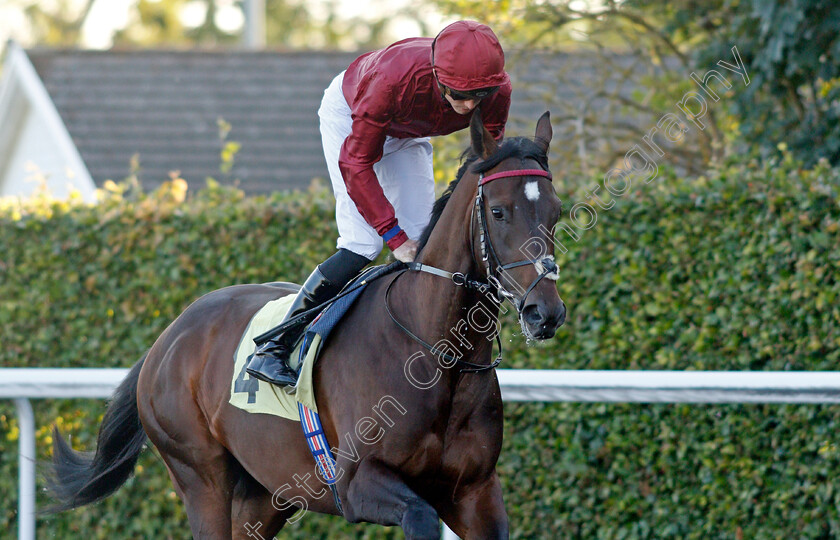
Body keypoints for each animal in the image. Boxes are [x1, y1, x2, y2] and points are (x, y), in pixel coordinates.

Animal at [49, 112, 568, 536]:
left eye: (556, 212)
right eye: (498, 211)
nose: (545, 312)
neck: (437, 355)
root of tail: (168, 336)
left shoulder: (475, 492)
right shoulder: (358, 483)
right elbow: (417, 515)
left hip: (264, 493)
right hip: (200, 476)